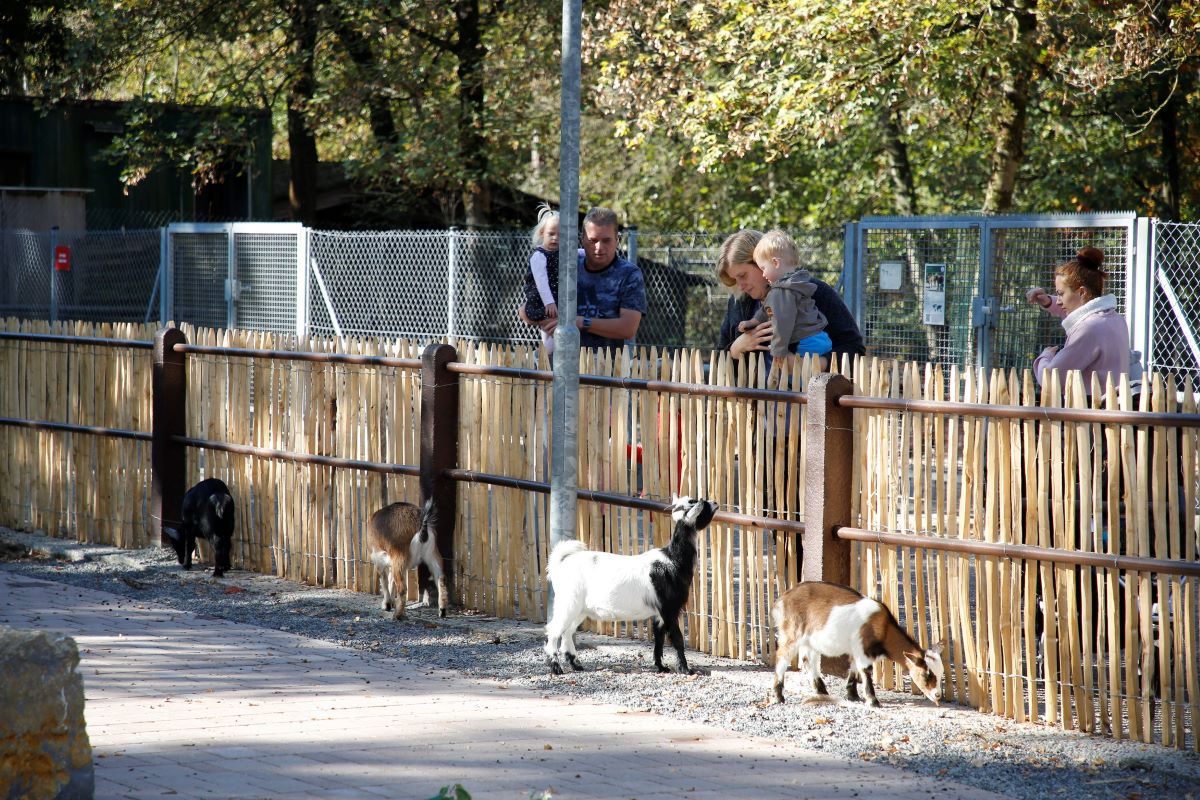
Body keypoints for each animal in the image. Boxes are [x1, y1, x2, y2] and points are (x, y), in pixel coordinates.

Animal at [547, 494, 720, 676]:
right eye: (700, 504)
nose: (715, 502)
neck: (673, 560)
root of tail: (560, 564)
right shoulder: (669, 608)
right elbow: (678, 639)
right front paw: (686, 669)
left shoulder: (659, 613)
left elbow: (659, 639)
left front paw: (661, 667)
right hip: (569, 602)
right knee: (554, 629)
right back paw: (556, 667)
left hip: (580, 608)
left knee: (567, 631)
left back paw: (576, 664)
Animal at [768, 582, 945, 705]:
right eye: (926, 674)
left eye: (941, 673)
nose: (937, 695)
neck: (884, 628)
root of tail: (782, 600)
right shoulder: (863, 648)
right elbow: (865, 671)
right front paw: (873, 701)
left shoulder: (857, 649)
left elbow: (854, 668)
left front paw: (853, 696)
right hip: (792, 632)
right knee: (783, 657)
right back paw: (779, 696)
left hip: (810, 639)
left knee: (808, 660)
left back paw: (822, 692)